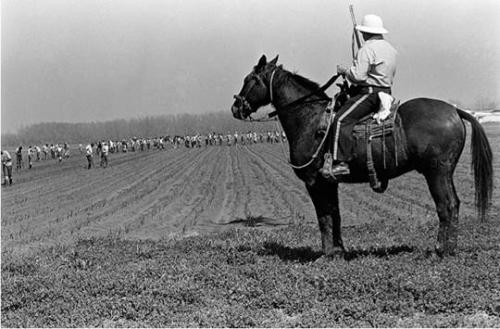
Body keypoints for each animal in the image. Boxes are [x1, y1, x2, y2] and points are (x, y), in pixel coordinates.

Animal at [230, 54, 492, 256]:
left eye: (249, 80)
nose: (236, 107)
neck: (310, 118)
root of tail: (455, 111)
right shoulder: (329, 182)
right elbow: (335, 215)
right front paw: (338, 251)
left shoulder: (315, 182)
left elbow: (323, 216)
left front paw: (326, 254)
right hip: (444, 173)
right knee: (453, 205)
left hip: (436, 172)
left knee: (446, 206)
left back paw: (441, 250)